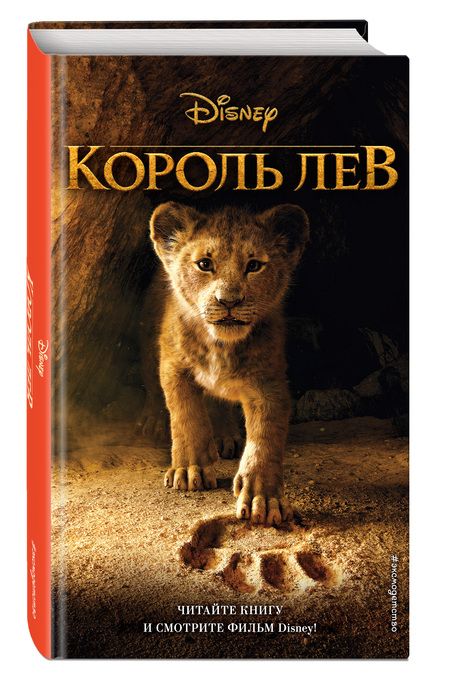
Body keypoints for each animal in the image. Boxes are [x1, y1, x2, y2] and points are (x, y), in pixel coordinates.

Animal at [144, 202, 309, 526]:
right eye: (204, 264)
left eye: (254, 265)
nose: (229, 301)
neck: (220, 345)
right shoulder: (173, 366)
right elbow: (186, 416)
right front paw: (190, 470)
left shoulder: (269, 383)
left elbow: (265, 438)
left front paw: (263, 498)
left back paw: (225, 437)